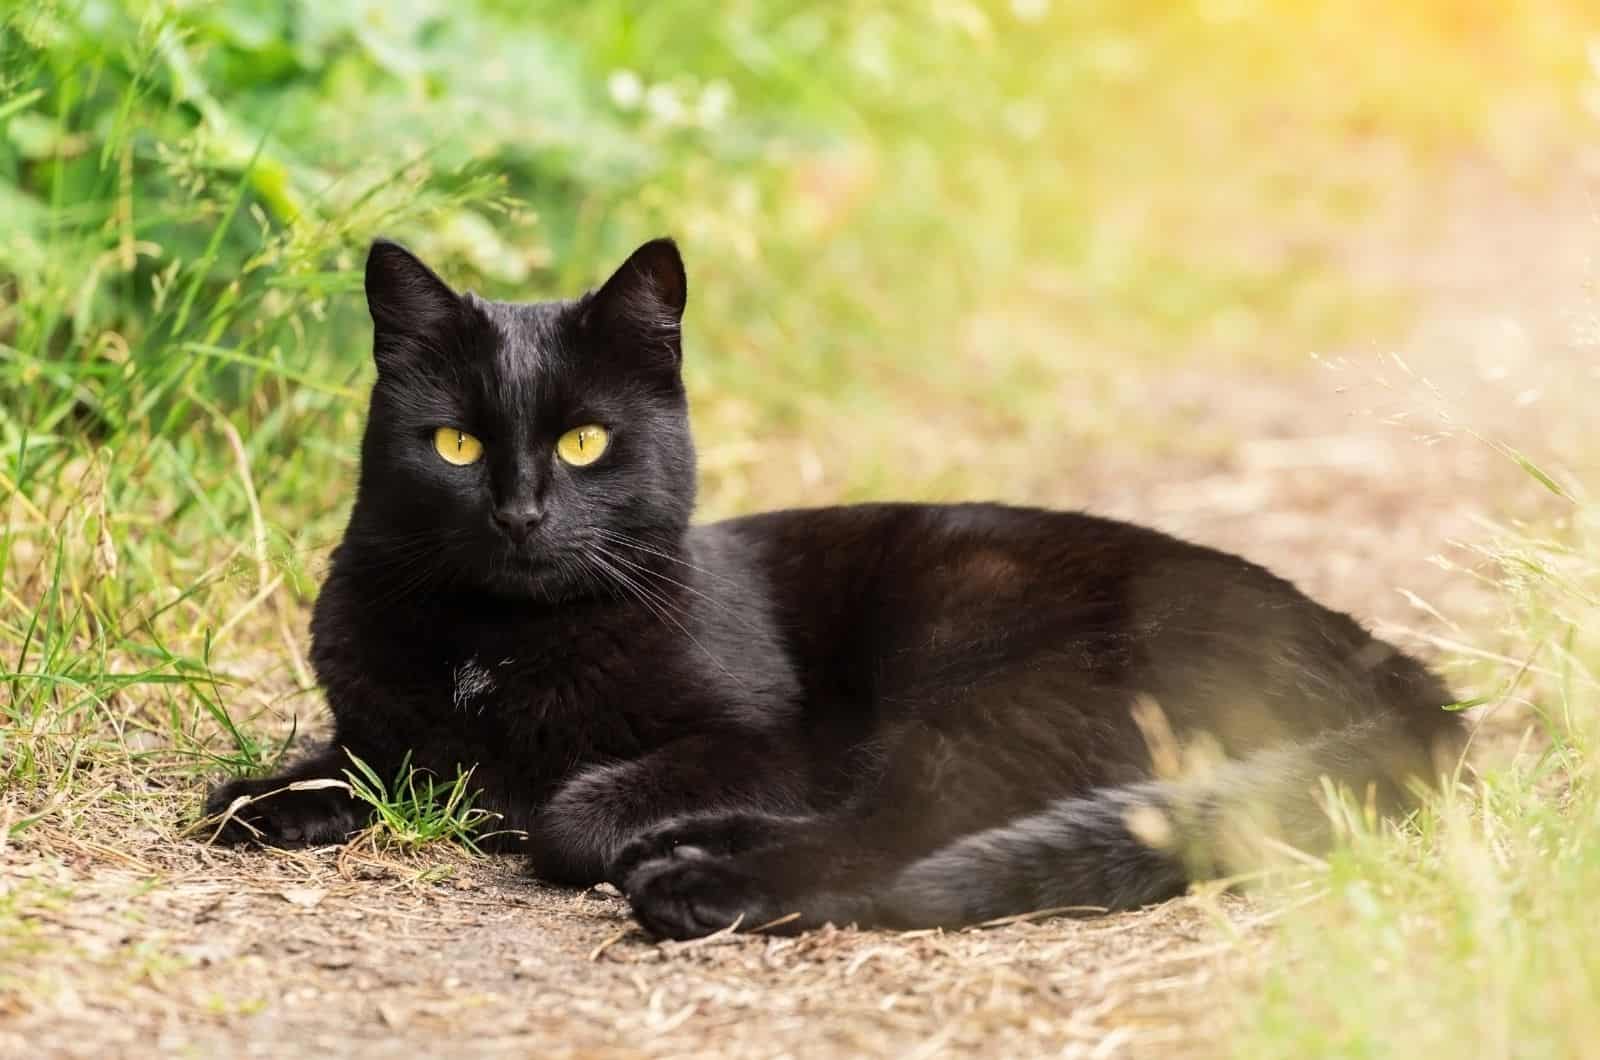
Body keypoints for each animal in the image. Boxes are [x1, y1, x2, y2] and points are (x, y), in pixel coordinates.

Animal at [206, 238, 1465, 941]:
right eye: (457, 444)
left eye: (583, 444)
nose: (519, 512)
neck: (497, 645)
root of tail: (1391, 667)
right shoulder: (382, 726)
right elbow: (346, 766)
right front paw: (273, 798)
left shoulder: (771, 737)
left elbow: (568, 807)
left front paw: (557, 817)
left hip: (989, 671)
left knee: (909, 830)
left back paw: (690, 881)